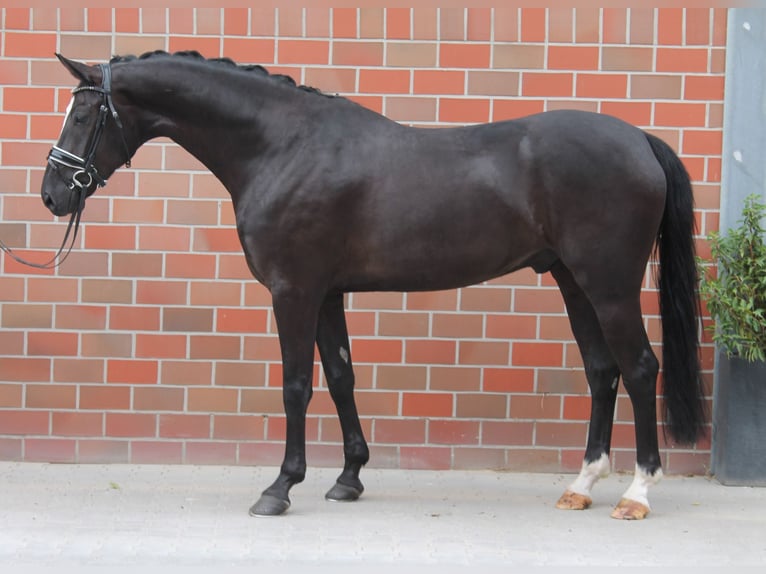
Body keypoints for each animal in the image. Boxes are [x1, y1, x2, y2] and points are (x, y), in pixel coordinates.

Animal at [39, 51, 706, 520]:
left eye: (84, 114)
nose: (52, 195)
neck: (282, 147)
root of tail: (640, 139)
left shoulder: (294, 290)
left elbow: (297, 385)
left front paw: (281, 486)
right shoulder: (328, 292)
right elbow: (340, 376)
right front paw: (348, 478)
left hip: (609, 285)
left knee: (639, 369)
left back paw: (638, 493)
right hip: (573, 281)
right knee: (602, 370)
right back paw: (582, 484)